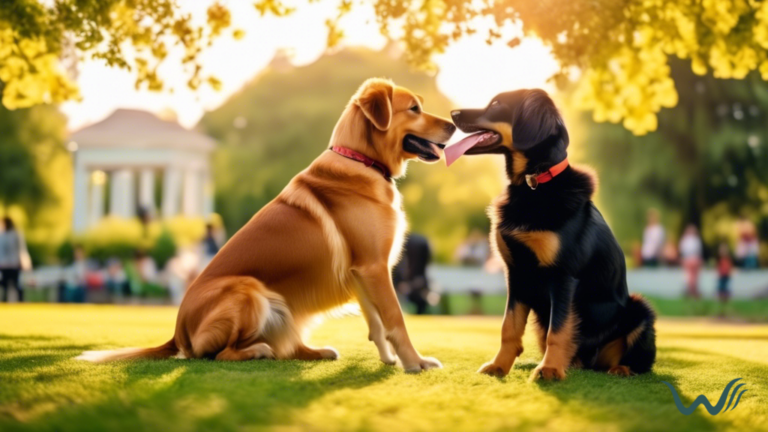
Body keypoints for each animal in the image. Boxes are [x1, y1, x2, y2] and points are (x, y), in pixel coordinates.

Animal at [79, 79, 456, 372]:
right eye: (414, 109)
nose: (454, 124)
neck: (360, 159)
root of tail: (177, 332)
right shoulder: (373, 267)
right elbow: (395, 318)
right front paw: (414, 363)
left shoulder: (362, 272)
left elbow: (376, 323)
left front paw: (390, 360)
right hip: (249, 291)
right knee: (218, 354)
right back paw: (259, 351)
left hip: (282, 308)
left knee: (289, 347)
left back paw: (315, 351)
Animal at [448, 89, 656, 380]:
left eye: (497, 104)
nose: (453, 113)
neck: (532, 184)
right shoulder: (517, 273)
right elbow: (509, 327)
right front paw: (499, 365)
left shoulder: (563, 275)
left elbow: (557, 331)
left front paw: (548, 370)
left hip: (640, 310)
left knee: (640, 362)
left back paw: (620, 368)